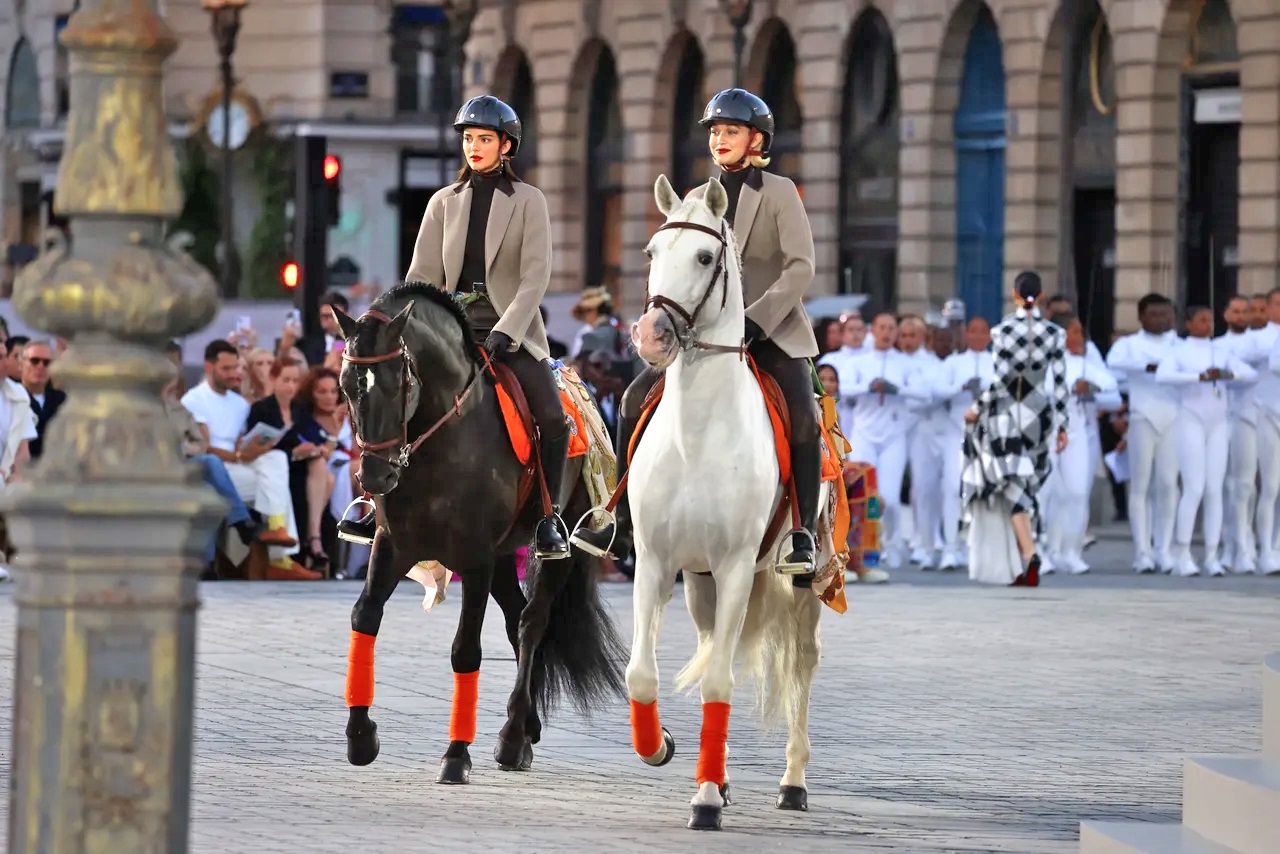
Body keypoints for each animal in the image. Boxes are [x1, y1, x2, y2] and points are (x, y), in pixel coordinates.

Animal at [332, 282, 625, 783]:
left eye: (397, 383)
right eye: (347, 386)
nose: (374, 477)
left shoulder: (475, 558)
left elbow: (466, 650)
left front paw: (455, 755)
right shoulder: (394, 545)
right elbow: (364, 617)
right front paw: (360, 736)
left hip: (552, 547)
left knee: (532, 623)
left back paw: (511, 737)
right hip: (506, 556)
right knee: (515, 619)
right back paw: (525, 730)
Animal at [624, 175, 830, 831]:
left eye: (704, 257)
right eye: (651, 253)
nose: (650, 336)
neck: (697, 435)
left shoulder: (739, 565)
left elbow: (719, 683)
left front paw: (707, 801)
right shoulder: (657, 563)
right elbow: (642, 675)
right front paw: (660, 745)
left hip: (801, 582)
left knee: (801, 663)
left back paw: (792, 783)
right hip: (701, 584)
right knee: (719, 646)